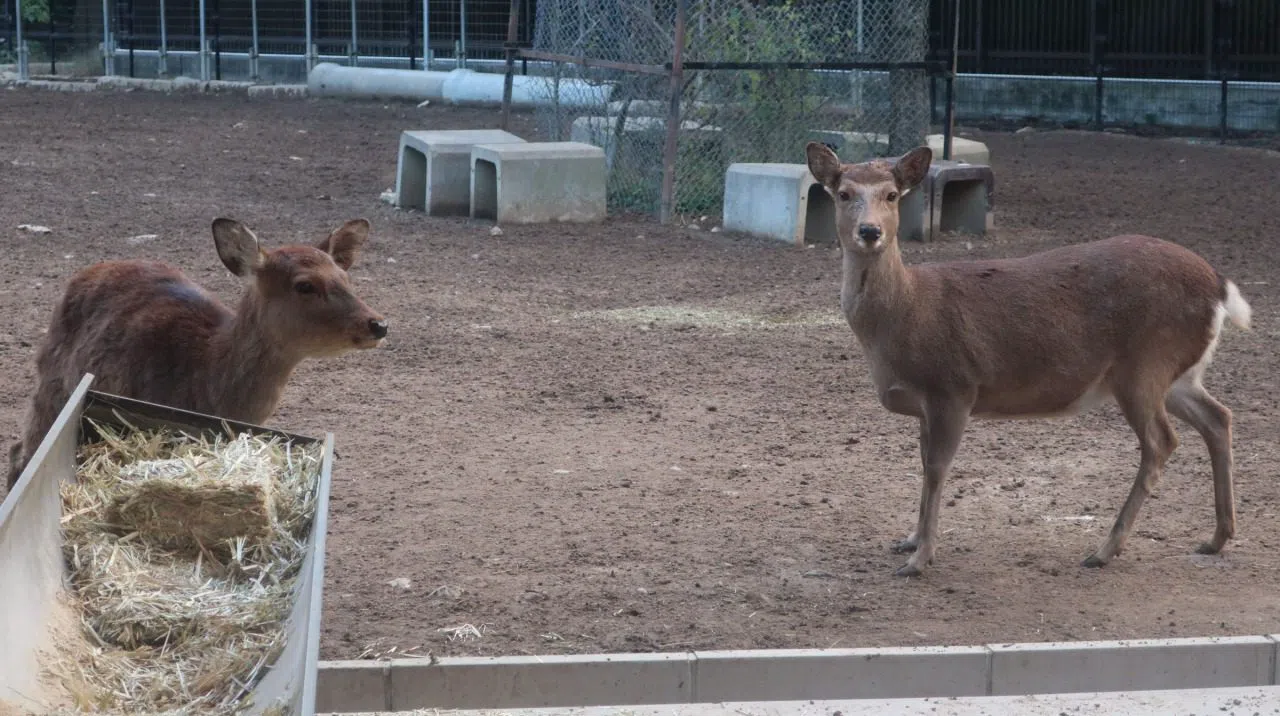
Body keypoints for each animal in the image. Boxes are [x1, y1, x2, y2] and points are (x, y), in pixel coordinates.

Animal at [6, 217, 389, 491]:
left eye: (346, 278)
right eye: (305, 285)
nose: (378, 324)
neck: (203, 384)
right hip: (51, 386)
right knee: (21, 452)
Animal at [804, 141, 1252, 578]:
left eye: (892, 195)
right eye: (843, 194)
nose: (869, 231)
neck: (906, 314)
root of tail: (1219, 287)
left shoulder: (952, 386)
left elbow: (936, 467)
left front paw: (920, 559)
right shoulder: (926, 403)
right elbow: (923, 463)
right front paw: (910, 540)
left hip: (1145, 362)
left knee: (1161, 441)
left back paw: (1104, 550)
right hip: (1178, 373)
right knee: (1219, 417)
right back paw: (1217, 537)